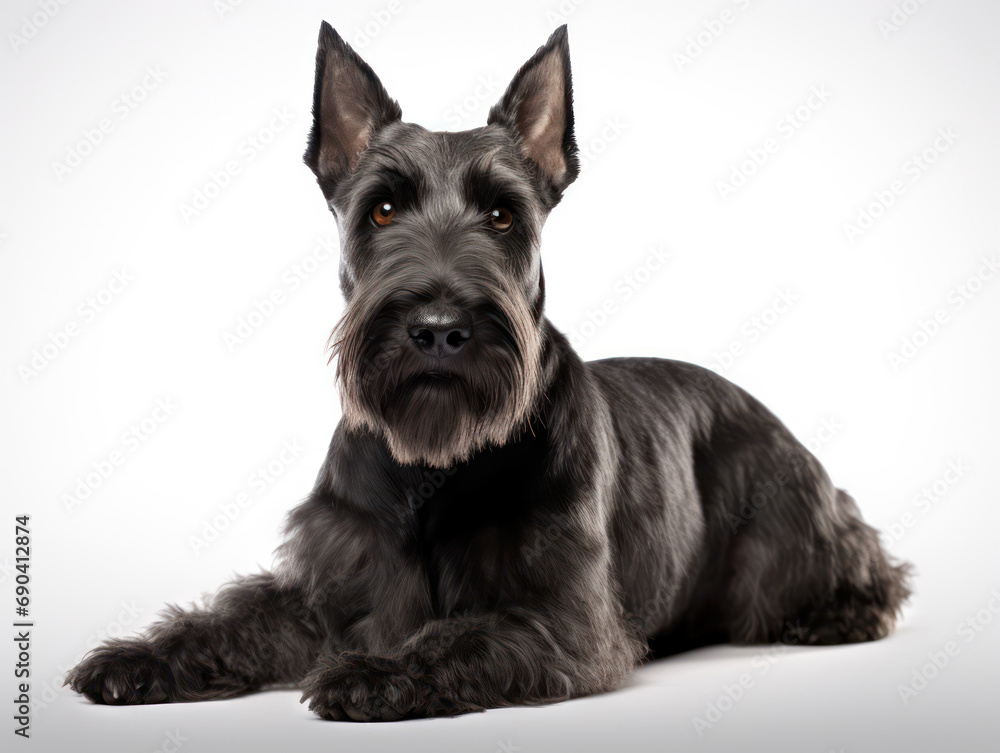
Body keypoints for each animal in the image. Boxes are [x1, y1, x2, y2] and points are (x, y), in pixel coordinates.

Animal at [66, 20, 912, 720]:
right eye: (381, 209)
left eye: (504, 215)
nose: (440, 329)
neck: (432, 467)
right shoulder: (332, 582)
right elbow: (235, 618)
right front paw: (138, 658)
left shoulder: (561, 616)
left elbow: (463, 634)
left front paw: (376, 672)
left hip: (791, 534)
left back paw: (841, 610)